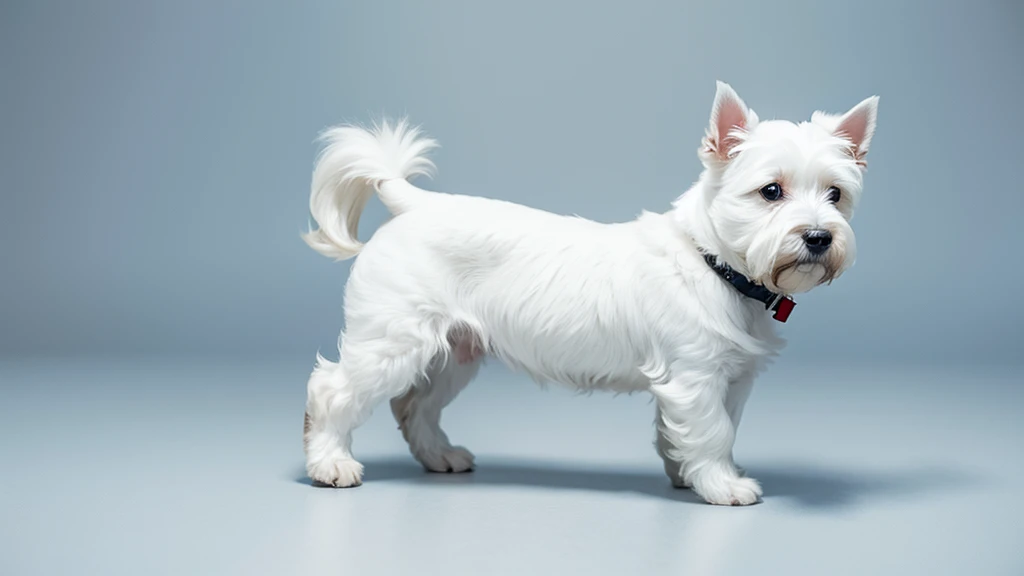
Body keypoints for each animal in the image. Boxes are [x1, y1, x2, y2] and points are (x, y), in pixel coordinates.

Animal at [299, 80, 876, 502]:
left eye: (836, 195)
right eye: (771, 191)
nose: (819, 237)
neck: (714, 264)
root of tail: (413, 202)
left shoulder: (729, 381)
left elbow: (698, 431)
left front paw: (689, 473)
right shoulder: (697, 377)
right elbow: (713, 432)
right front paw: (723, 485)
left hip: (454, 351)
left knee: (414, 407)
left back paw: (440, 457)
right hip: (392, 342)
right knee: (333, 392)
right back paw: (331, 463)